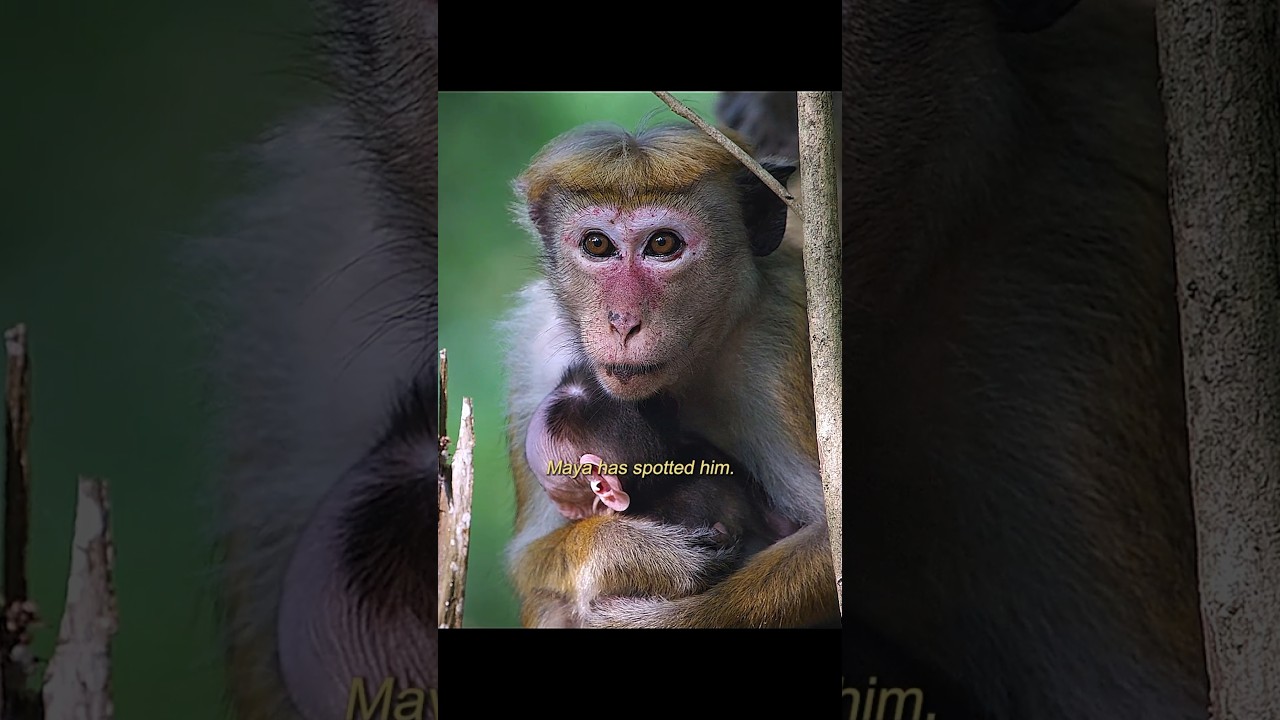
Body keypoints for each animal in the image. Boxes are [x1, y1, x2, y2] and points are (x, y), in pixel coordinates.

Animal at [499, 120, 841, 629]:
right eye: (597, 244)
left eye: (662, 244)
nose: (622, 321)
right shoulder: (533, 347)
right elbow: (528, 561)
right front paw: (632, 552)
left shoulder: (781, 338)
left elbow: (825, 540)